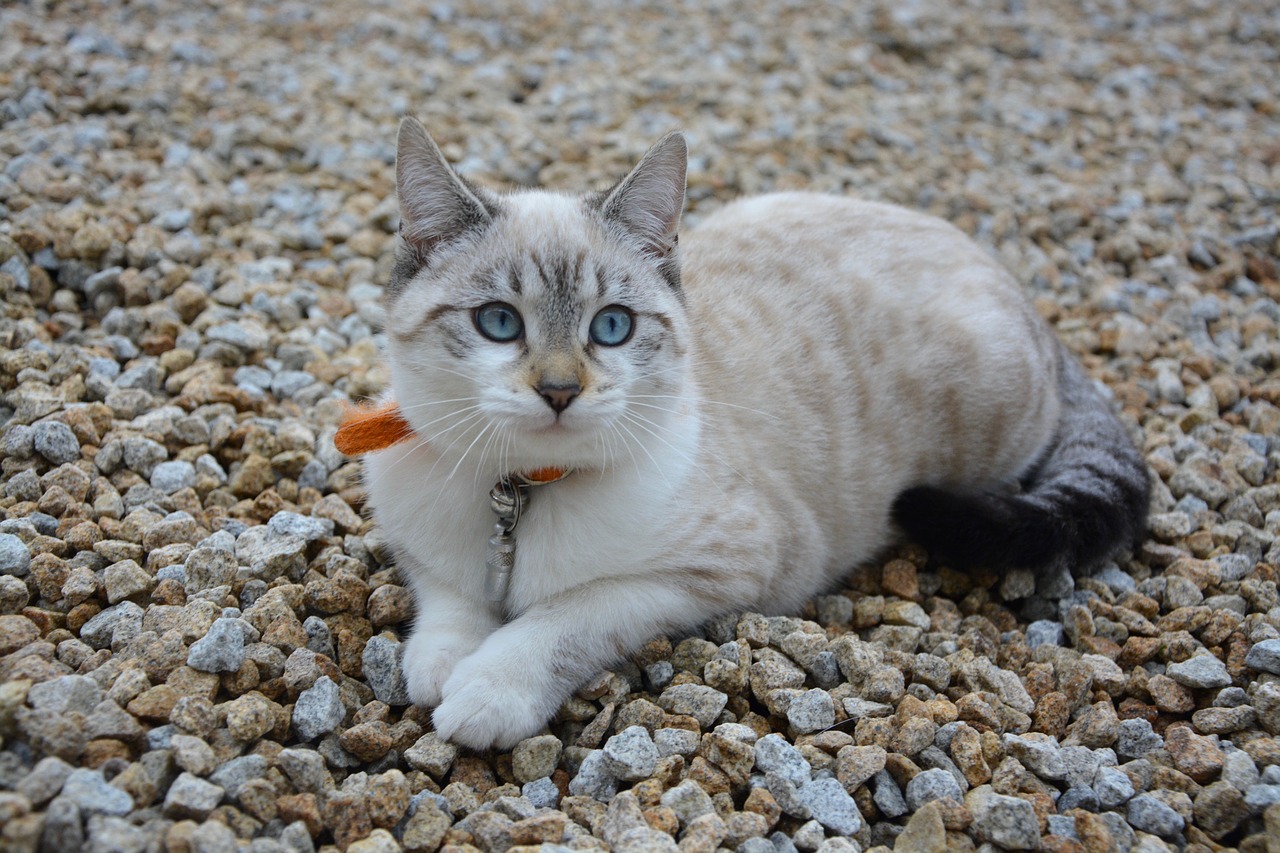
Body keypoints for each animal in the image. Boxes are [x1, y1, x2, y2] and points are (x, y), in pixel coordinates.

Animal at [360, 117, 1152, 742]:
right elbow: (448, 597)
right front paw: (438, 666)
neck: (519, 493)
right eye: (499, 322)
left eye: (611, 328)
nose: (559, 391)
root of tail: (1016, 284)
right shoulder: (419, 537)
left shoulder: (714, 572)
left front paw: (486, 690)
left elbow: (566, 616)